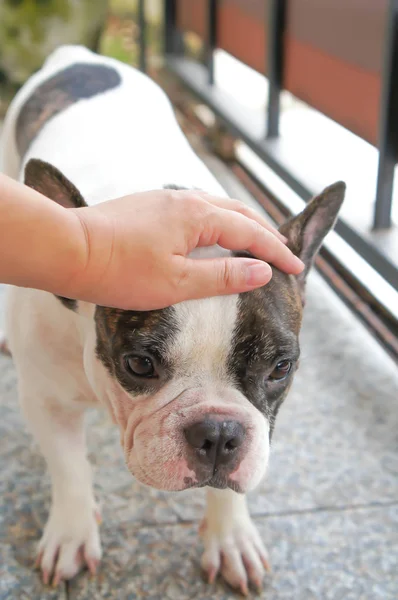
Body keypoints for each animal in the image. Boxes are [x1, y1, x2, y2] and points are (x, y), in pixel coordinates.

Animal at [1, 45, 346, 592]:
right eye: (139, 365)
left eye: (280, 368)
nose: (218, 434)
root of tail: (77, 54)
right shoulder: (46, 402)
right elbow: (69, 468)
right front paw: (72, 533)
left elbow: (234, 481)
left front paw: (230, 537)